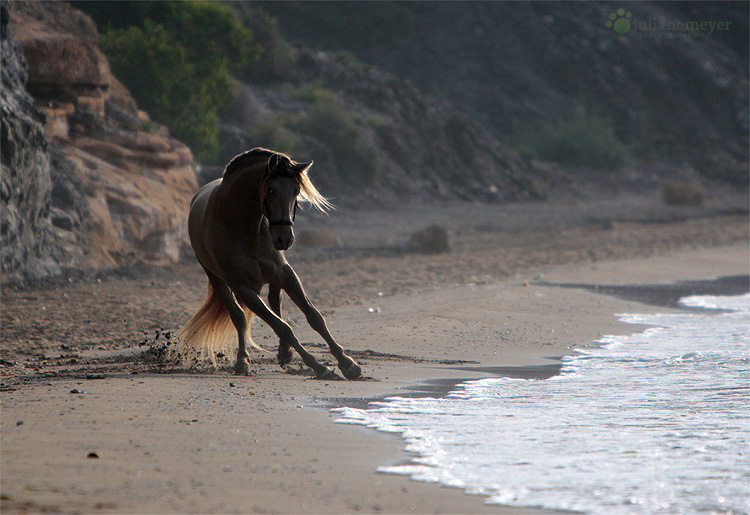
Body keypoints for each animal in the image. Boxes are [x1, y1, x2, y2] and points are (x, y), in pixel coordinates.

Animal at [176, 147, 364, 380]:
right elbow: (282, 327)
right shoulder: (244, 288)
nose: (285, 238)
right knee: (239, 317)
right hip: (218, 281)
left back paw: (284, 353)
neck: (243, 227)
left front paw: (348, 363)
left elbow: (314, 317)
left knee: (275, 301)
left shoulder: (286, 274)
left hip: (274, 278)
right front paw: (320, 367)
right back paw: (243, 361)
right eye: (272, 190)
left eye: (296, 191)